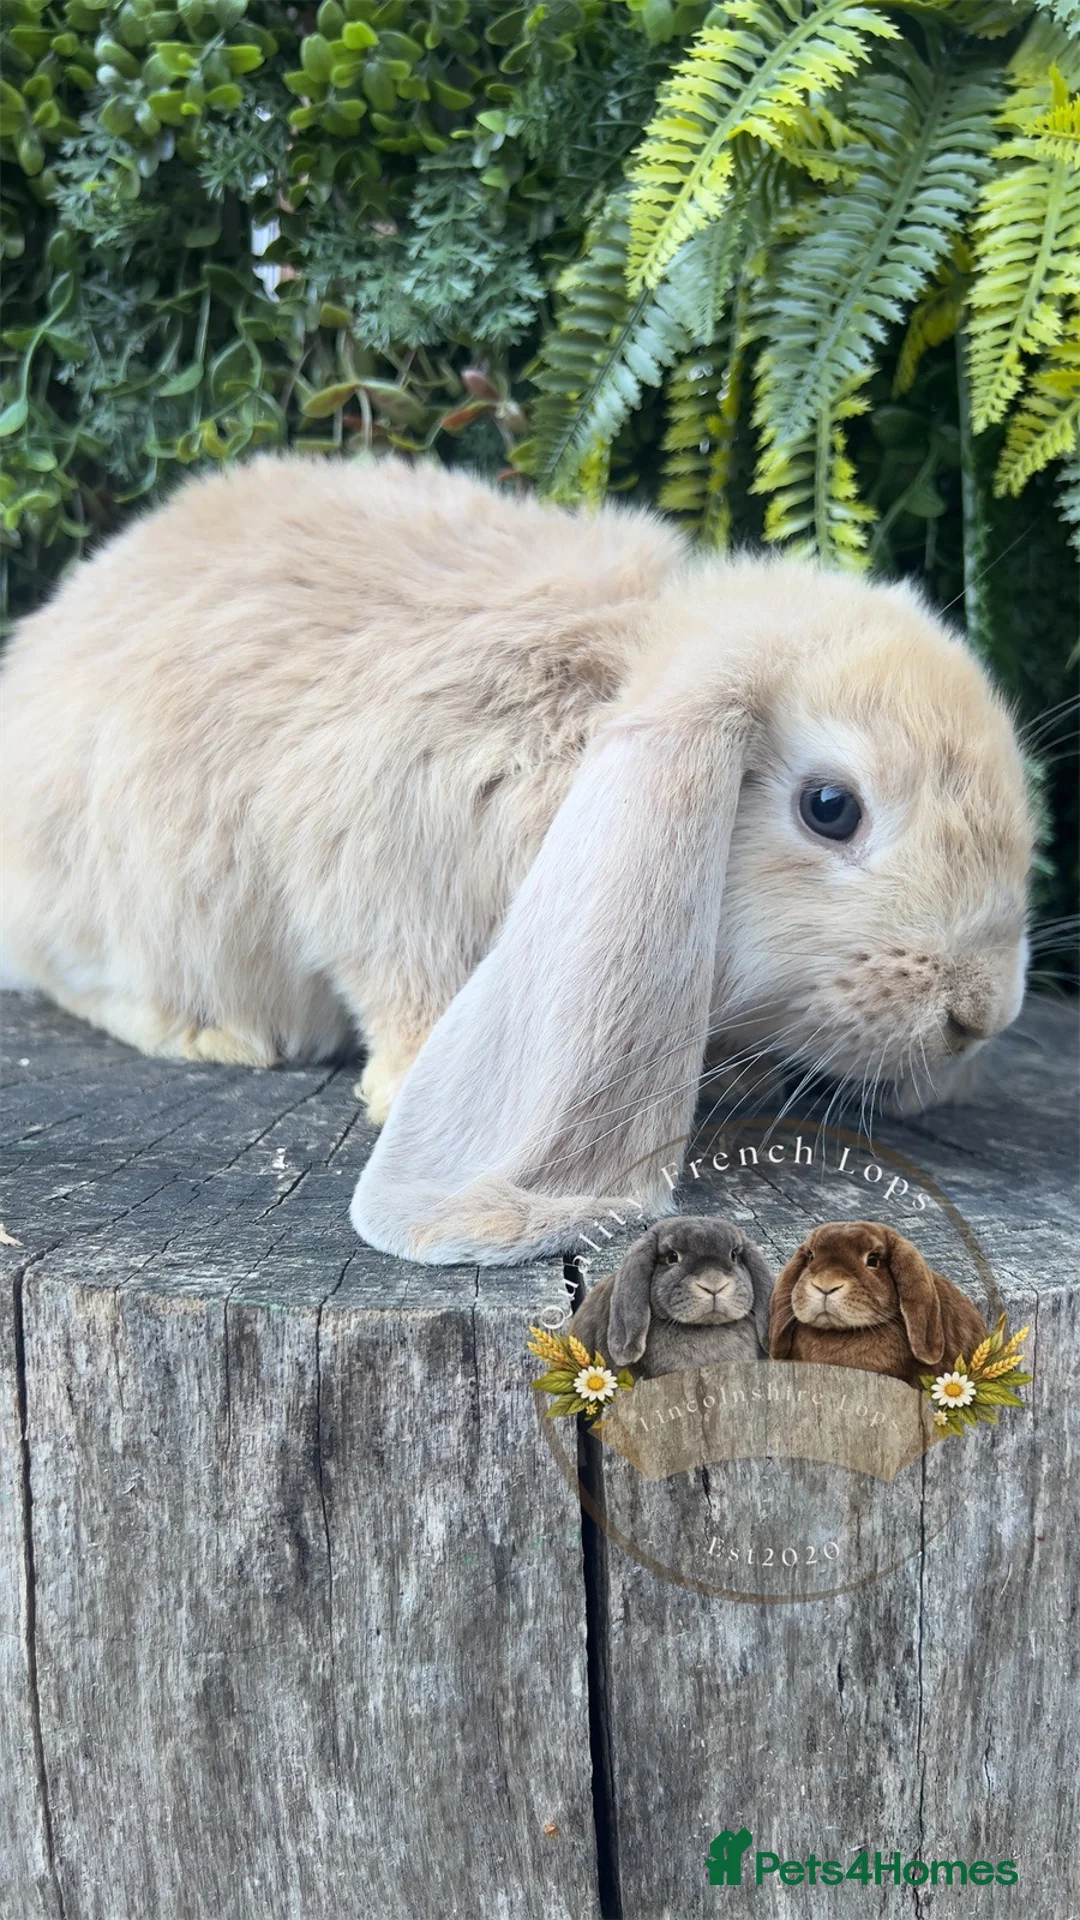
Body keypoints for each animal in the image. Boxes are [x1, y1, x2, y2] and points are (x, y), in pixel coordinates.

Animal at [0, 455, 1033, 1264]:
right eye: (830, 808)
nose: (981, 1016)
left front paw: (737, 1080)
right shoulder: (384, 881)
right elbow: (398, 986)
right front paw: (406, 1092)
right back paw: (213, 1036)